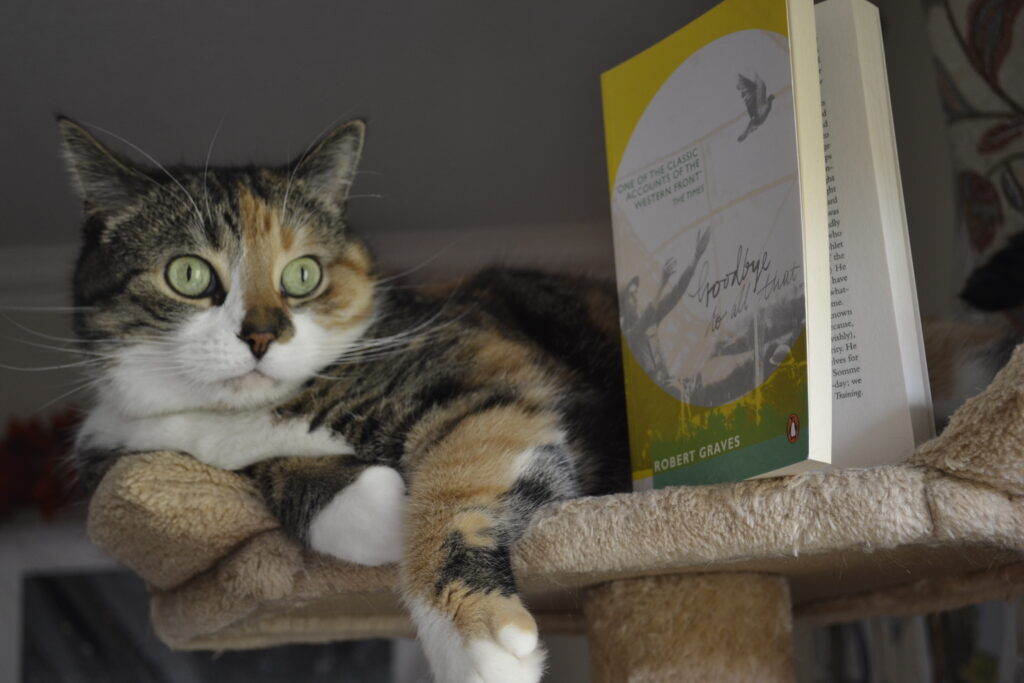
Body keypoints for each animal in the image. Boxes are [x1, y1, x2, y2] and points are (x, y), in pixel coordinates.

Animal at [59, 118, 626, 683]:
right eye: (188, 274)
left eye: (303, 274)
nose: (262, 335)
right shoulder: (124, 450)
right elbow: (239, 466)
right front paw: (371, 506)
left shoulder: (486, 368)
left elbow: (457, 482)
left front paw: (474, 643)